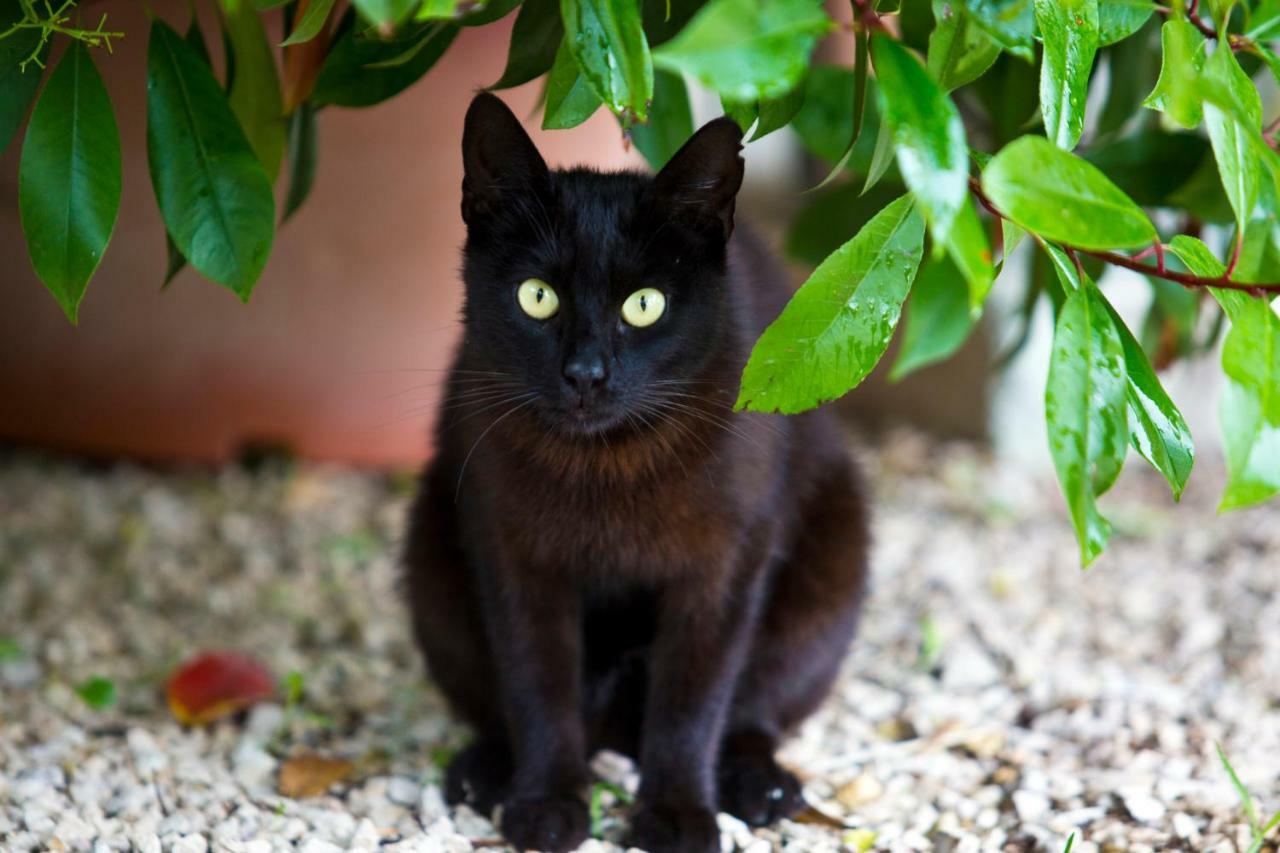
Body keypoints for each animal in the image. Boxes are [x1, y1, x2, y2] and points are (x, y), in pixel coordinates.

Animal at [404, 92, 870, 850]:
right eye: (537, 296)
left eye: (645, 305)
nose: (586, 373)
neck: (607, 465)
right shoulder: (513, 556)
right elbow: (537, 685)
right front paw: (547, 804)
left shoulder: (722, 567)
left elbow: (691, 701)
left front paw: (677, 815)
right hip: (431, 558)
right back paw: (486, 771)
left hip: (831, 568)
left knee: (755, 711)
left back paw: (760, 784)